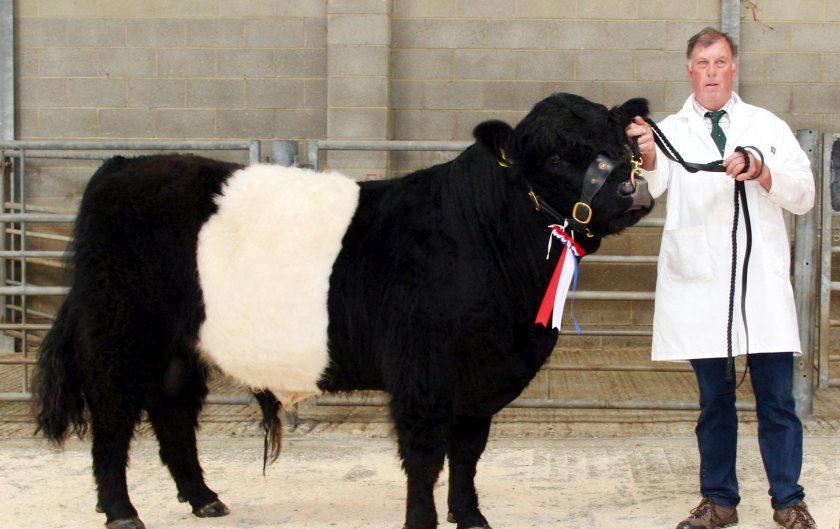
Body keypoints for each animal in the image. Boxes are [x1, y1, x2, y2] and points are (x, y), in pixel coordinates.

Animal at [34, 92, 656, 528]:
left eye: (621, 141)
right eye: (556, 152)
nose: (635, 191)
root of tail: (122, 165)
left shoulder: (480, 379)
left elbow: (468, 452)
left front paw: (471, 516)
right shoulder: (423, 374)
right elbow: (424, 455)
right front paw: (422, 520)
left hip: (180, 346)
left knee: (173, 411)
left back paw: (204, 498)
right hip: (119, 330)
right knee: (113, 415)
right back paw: (121, 510)